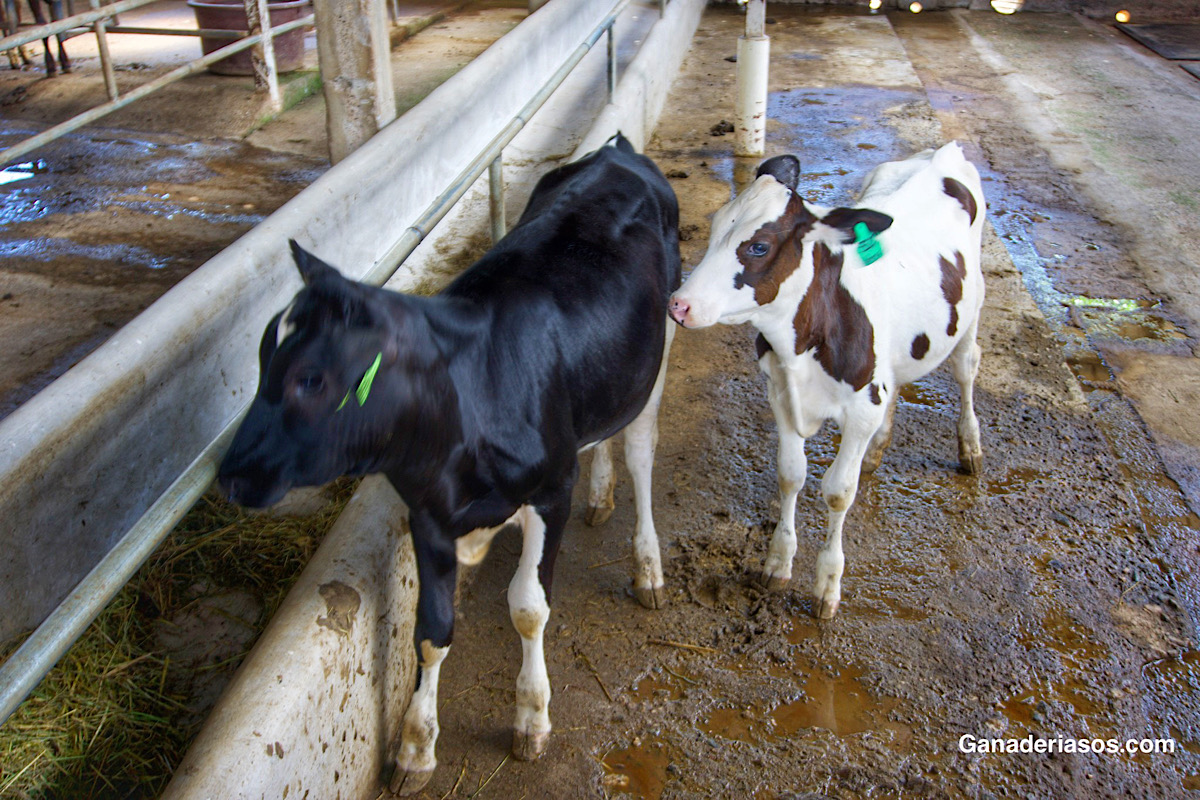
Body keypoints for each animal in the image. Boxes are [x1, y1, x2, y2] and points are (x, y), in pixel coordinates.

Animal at [667, 142, 984, 618]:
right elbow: (790, 474)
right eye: (717, 226)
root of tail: (942, 151)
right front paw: (778, 562)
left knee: (966, 370)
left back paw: (970, 448)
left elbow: (837, 492)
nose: (679, 304)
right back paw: (878, 448)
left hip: (970, 313)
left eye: (758, 246)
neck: (801, 344)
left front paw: (827, 584)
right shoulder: (780, 394)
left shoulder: (860, 410)